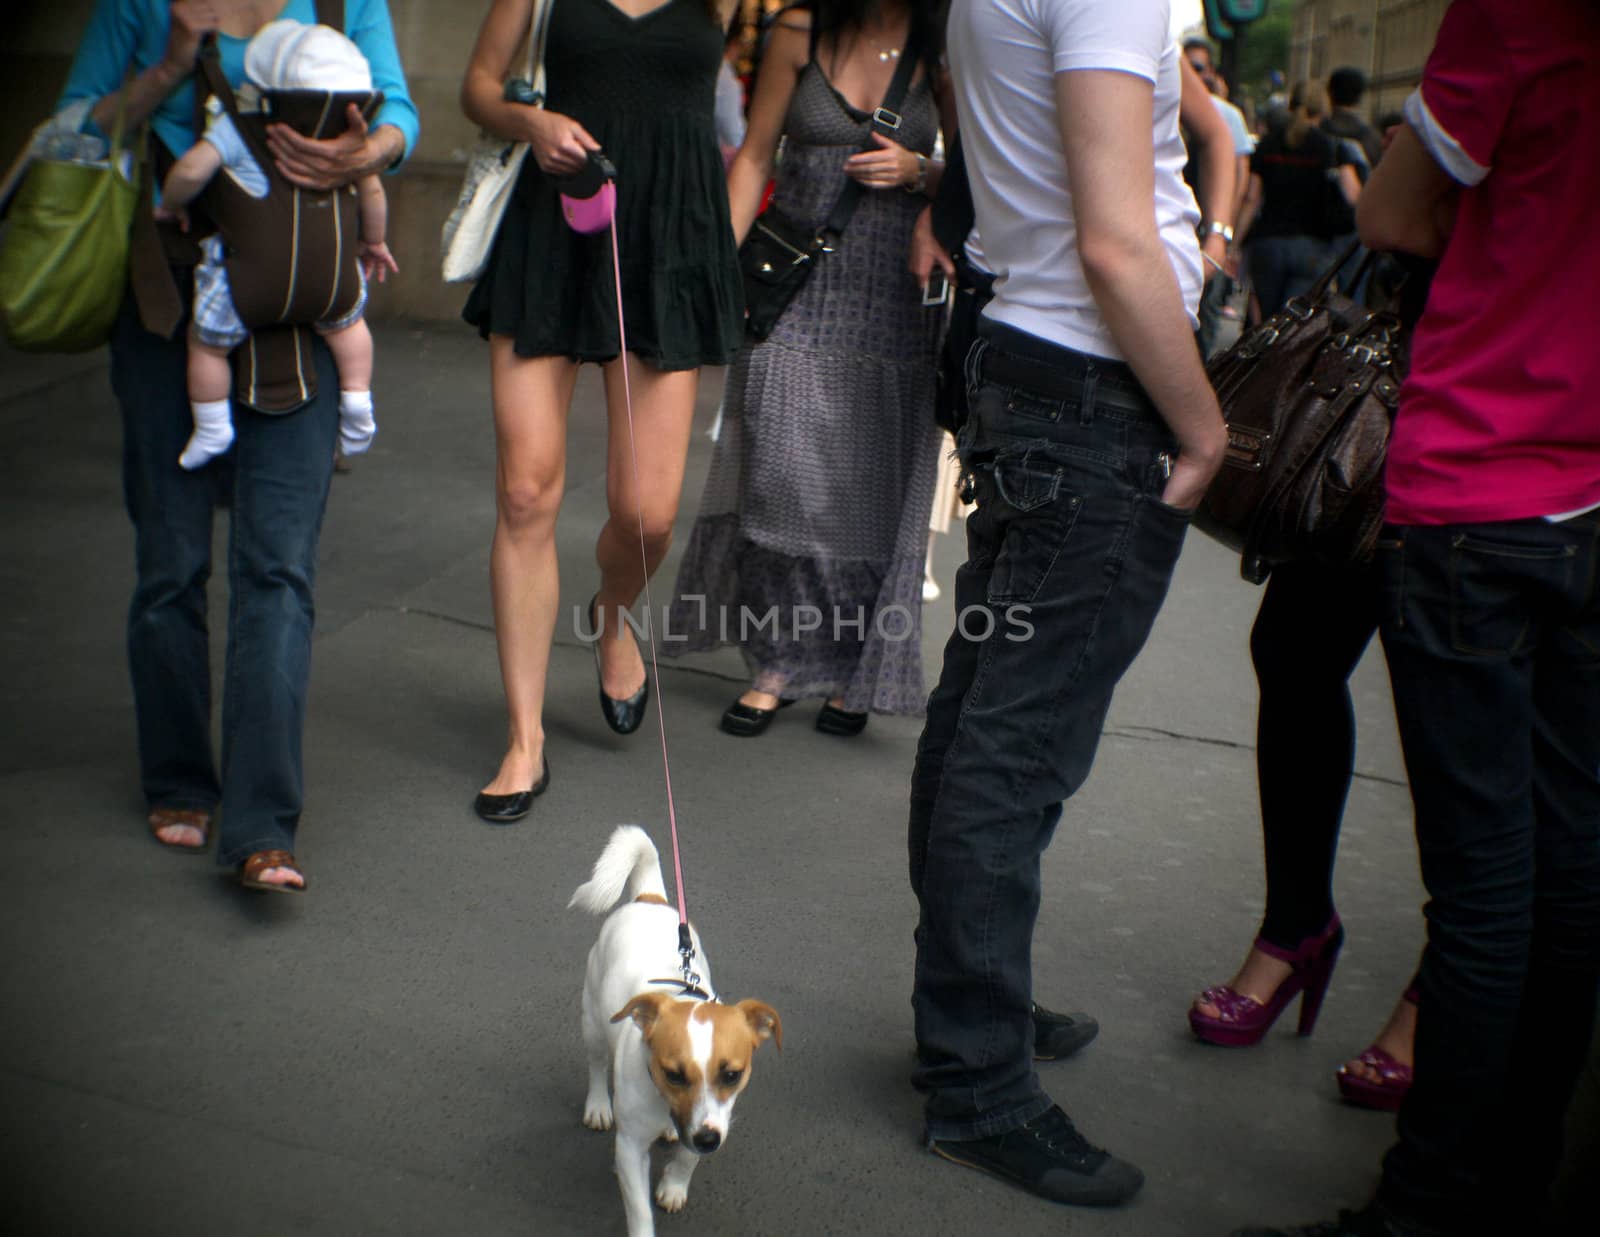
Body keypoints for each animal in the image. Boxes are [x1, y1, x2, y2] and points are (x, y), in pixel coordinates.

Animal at [569, 819, 780, 1235]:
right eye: (673, 1074)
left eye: (732, 1075)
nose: (708, 1139)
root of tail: (649, 898)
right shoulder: (630, 1147)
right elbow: (638, 1210)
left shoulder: (713, 1120)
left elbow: (687, 1158)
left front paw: (674, 1185)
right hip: (594, 1024)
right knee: (597, 1065)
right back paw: (598, 1104)